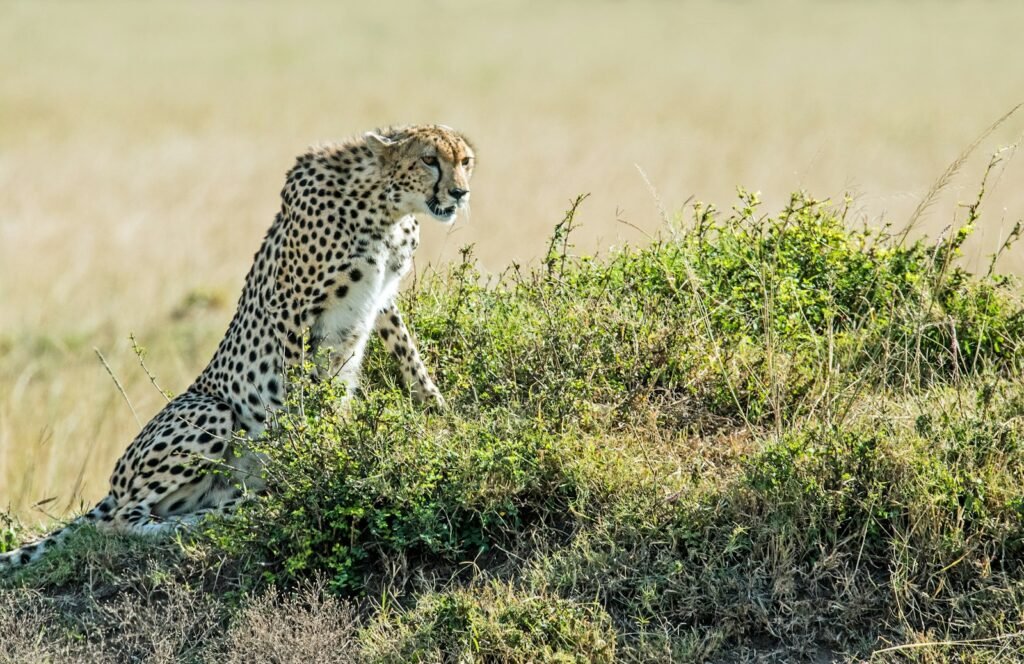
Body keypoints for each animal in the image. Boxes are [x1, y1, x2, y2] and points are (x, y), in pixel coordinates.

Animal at [0, 124, 475, 570]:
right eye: (429, 159)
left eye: (465, 161)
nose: (459, 192)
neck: (386, 205)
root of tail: (113, 488)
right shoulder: (290, 307)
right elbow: (297, 395)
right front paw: (309, 456)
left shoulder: (383, 297)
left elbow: (410, 358)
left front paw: (441, 414)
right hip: (211, 411)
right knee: (121, 522)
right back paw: (200, 521)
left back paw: (234, 504)